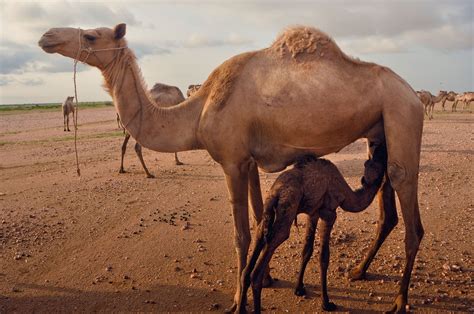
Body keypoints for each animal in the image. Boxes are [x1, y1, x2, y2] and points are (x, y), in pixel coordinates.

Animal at [239, 146, 386, 312]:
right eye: (377, 163)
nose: (381, 151)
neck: (345, 193)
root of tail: (275, 193)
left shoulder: (313, 213)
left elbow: (307, 250)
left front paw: (299, 289)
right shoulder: (329, 212)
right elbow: (324, 257)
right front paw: (326, 303)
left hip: (269, 210)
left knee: (256, 241)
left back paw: (240, 307)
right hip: (288, 206)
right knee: (264, 260)